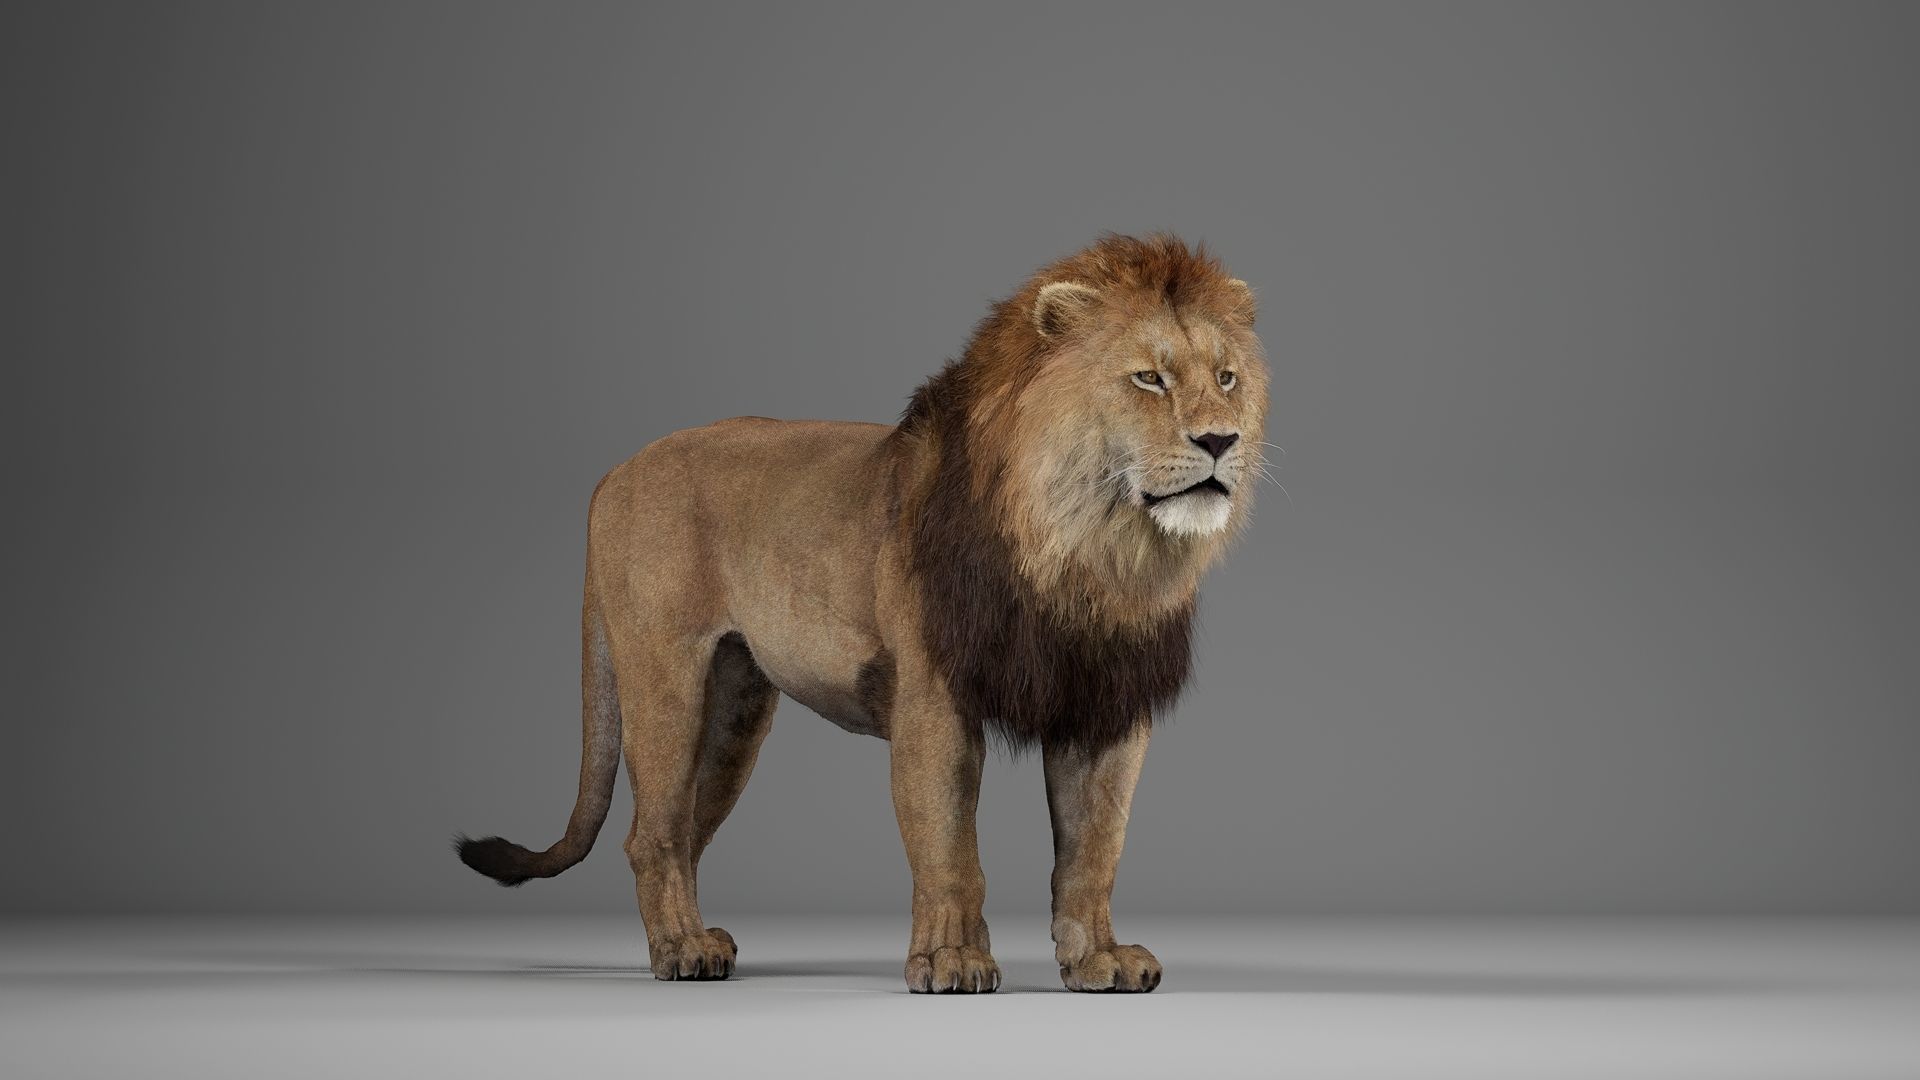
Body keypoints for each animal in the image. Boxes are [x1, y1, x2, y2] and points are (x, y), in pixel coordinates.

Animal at [457, 233, 1270, 993]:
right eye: (1149, 377)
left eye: (1226, 377)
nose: (1220, 439)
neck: (1086, 549)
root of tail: (613, 474)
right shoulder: (934, 698)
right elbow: (949, 846)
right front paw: (950, 961)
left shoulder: (1104, 703)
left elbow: (1094, 849)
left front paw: (1097, 960)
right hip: (666, 678)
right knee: (650, 833)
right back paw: (681, 952)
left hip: (734, 707)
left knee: (685, 829)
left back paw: (698, 941)